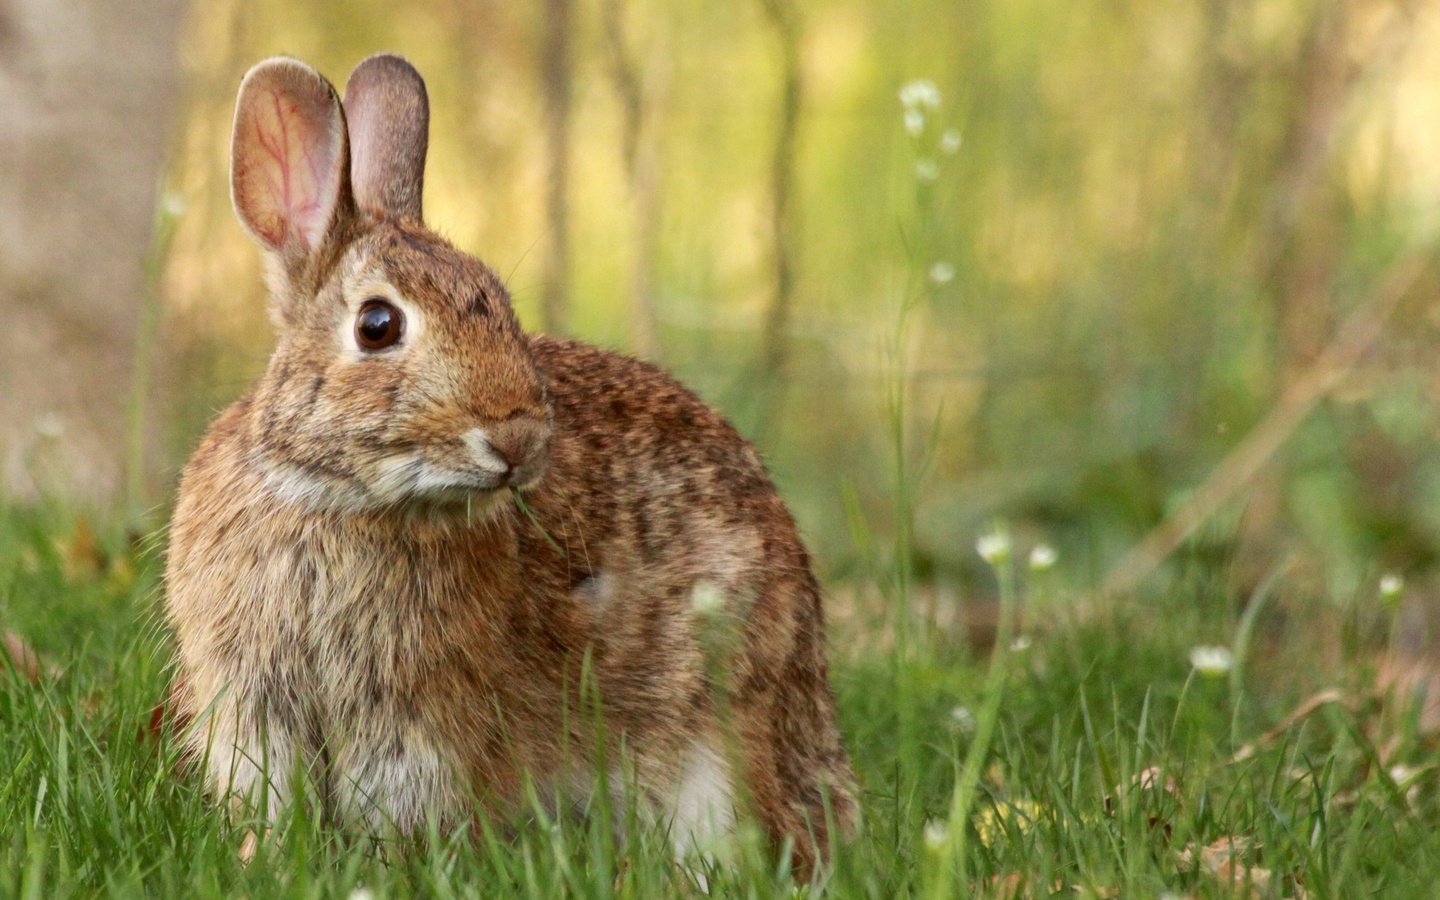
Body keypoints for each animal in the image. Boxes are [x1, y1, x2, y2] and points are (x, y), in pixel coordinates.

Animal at [163, 52, 852, 875]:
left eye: (500, 300)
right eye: (377, 325)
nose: (519, 438)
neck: (336, 498)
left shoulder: (416, 725)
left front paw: (388, 870)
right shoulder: (254, 707)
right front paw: (262, 858)